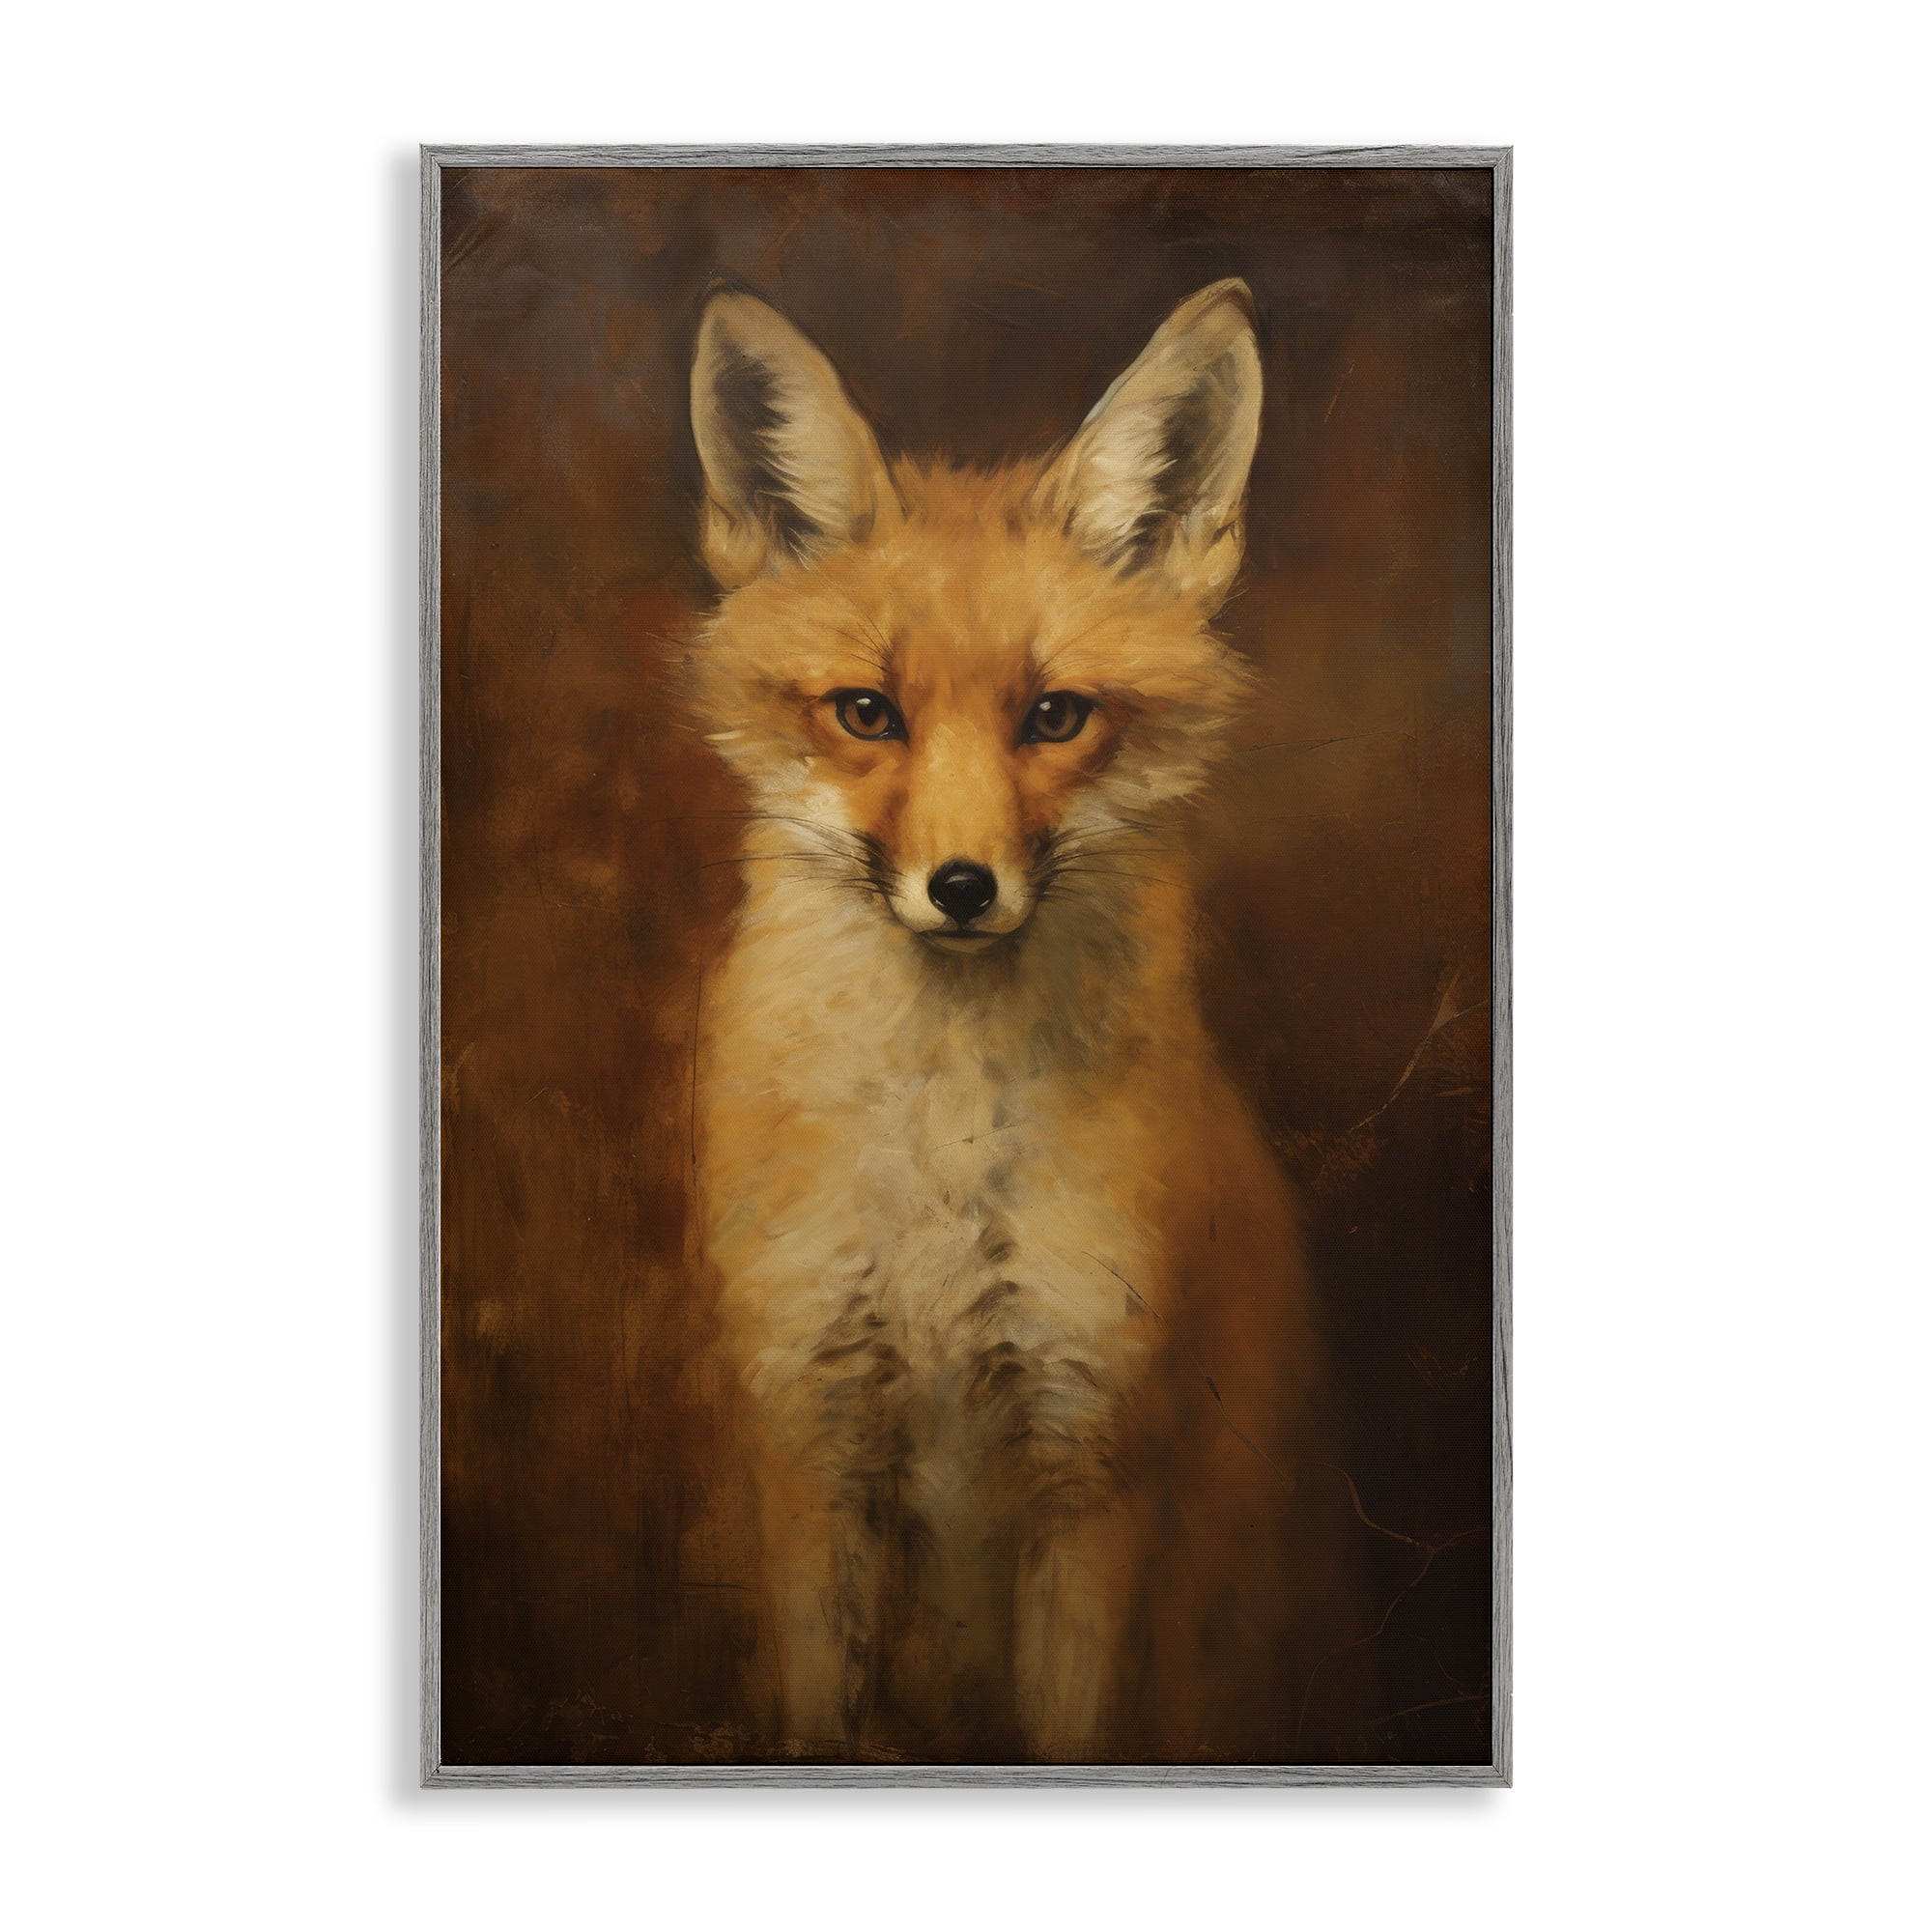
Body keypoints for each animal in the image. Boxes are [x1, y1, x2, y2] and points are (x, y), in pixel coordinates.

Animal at [685, 279, 1336, 1764]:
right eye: (868, 711)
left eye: (1055, 715)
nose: (964, 888)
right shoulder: (812, 1439)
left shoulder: (1093, 1461)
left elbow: (1071, 1728)